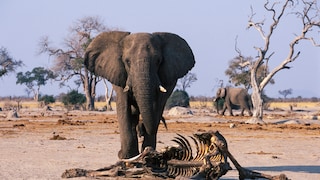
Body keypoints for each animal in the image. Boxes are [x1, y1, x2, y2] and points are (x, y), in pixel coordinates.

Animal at [84, 31, 195, 159]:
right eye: (127, 61)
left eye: (158, 61)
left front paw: (149, 152)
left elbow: (157, 107)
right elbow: (124, 107)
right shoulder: (120, 74)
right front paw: (126, 156)